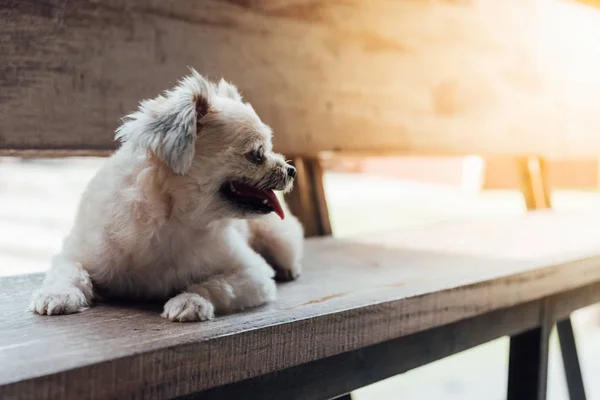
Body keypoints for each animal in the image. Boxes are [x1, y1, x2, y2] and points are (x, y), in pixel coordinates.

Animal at [28, 69, 304, 322]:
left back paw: (288, 269)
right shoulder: (79, 254)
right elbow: (70, 272)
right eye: (256, 155)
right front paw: (58, 295)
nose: (291, 170)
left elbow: (215, 285)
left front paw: (190, 301)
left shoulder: (253, 274)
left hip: (278, 238)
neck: (174, 219)